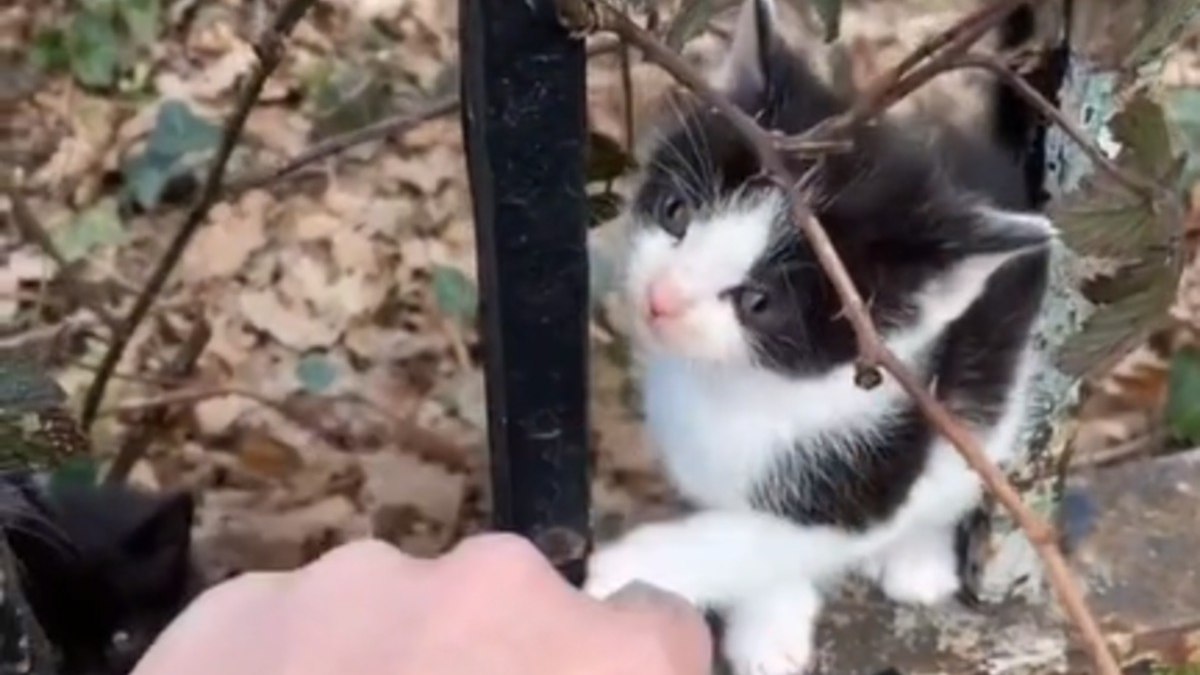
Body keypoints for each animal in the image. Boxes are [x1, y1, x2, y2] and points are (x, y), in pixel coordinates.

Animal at [585, 1, 1056, 672]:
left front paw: (621, 569)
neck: (743, 389)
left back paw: (918, 559)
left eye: (760, 302)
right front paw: (770, 624)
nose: (661, 298)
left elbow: (765, 539)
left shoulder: (871, 468)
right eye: (677, 213)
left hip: (992, 379)